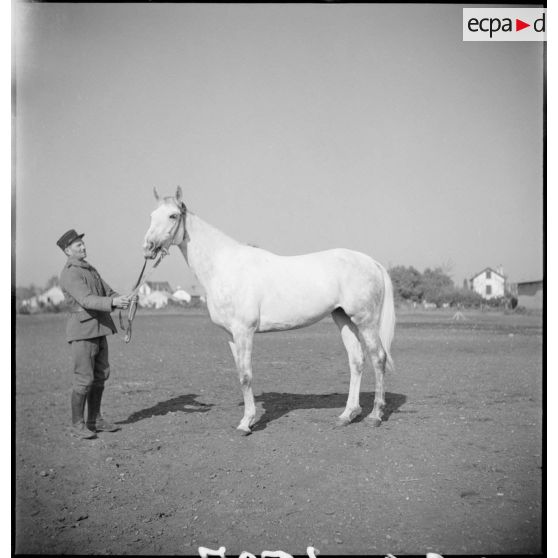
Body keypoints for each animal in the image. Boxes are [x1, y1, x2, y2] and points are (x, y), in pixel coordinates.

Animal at [144, 188, 398, 438]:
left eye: (173, 216)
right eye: (152, 215)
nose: (148, 247)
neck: (225, 267)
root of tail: (371, 262)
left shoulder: (244, 331)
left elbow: (246, 376)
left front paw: (246, 423)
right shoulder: (231, 335)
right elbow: (240, 374)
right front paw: (248, 419)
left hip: (365, 320)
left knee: (378, 358)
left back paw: (375, 416)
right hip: (343, 318)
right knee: (356, 361)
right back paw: (347, 415)